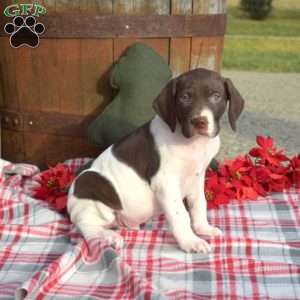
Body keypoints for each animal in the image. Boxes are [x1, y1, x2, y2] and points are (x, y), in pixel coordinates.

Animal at [67, 68, 244, 253]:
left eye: (216, 96)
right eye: (185, 97)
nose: (199, 122)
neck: (193, 142)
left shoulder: (197, 177)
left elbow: (199, 205)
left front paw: (204, 229)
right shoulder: (165, 181)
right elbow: (180, 214)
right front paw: (190, 241)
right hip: (91, 185)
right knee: (88, 228)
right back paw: (109, 237)